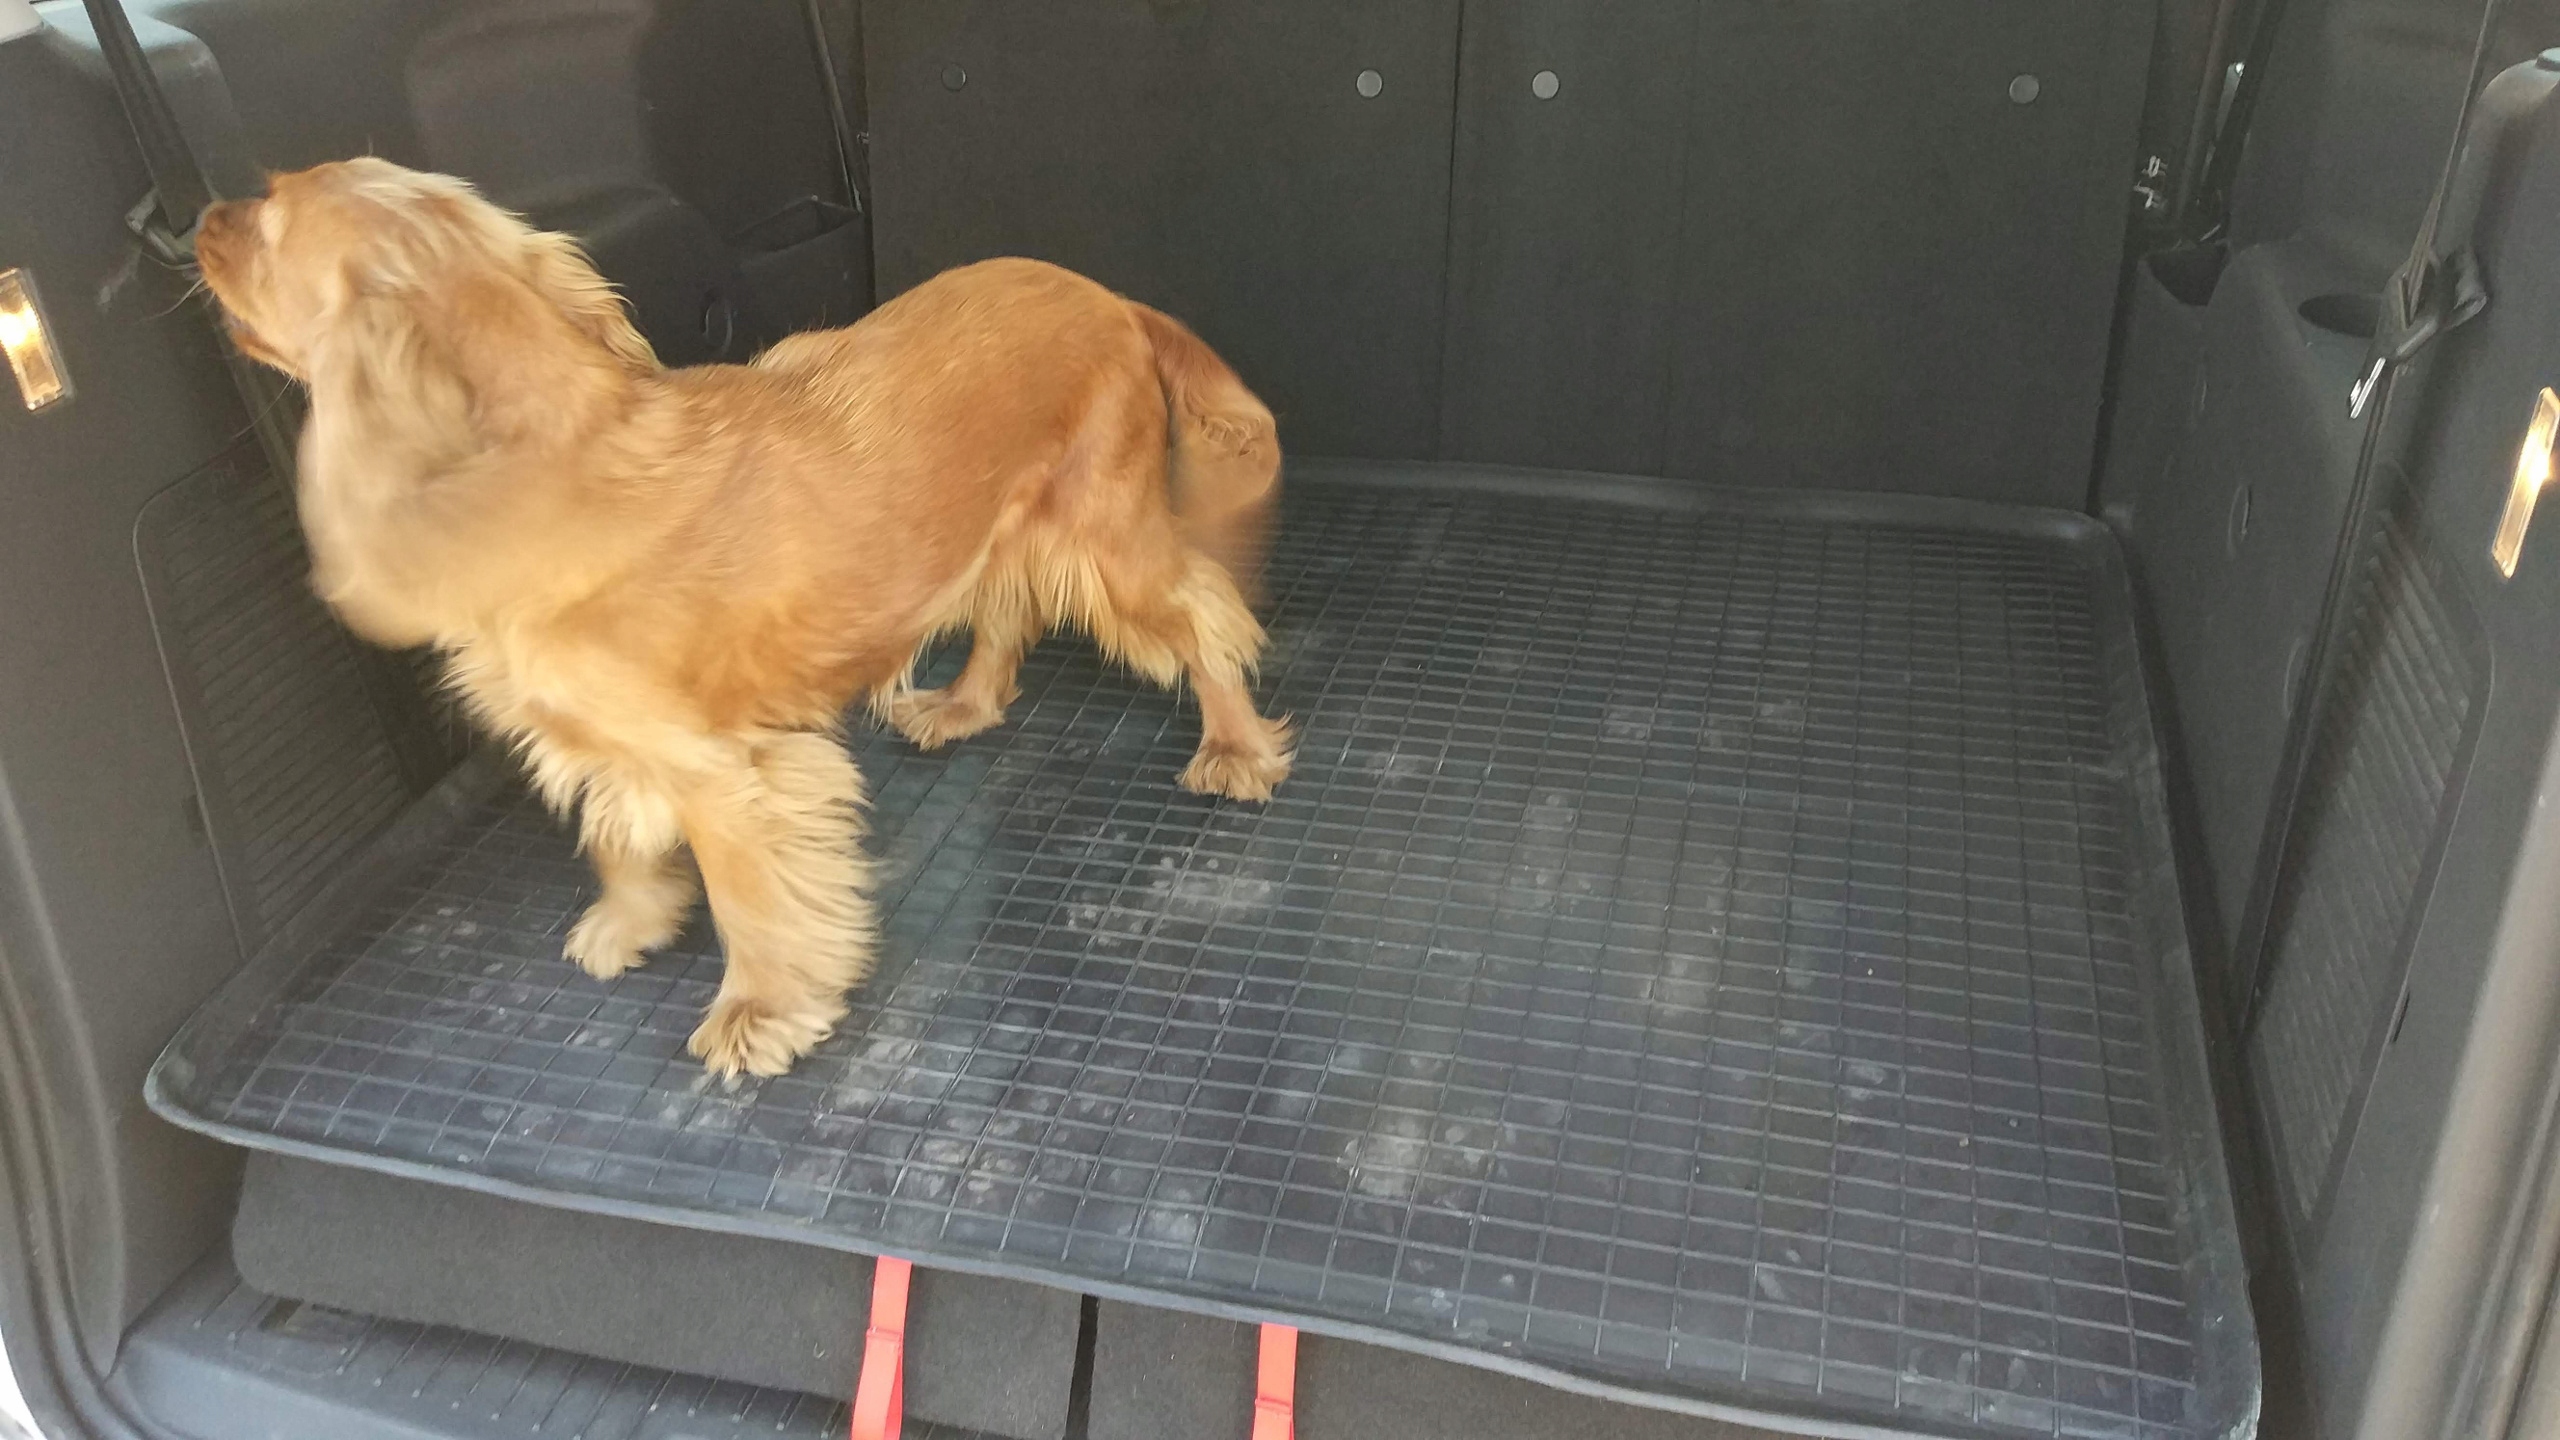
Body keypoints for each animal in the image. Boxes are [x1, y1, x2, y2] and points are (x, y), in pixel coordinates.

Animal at [194, 158, 1292, 1077]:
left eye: (269, 210)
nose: (202, 216)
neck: (556, 458)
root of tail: (1113, 300)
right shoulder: (621, 743)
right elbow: (616, 838)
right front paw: (630, 922)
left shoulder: (726, 769)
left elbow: (750, 899)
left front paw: (760, 1012)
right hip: (998, 525)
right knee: (1007, 614)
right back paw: (963, 706)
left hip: (1108, 543)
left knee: (1204, 618)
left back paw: (1234, 748)